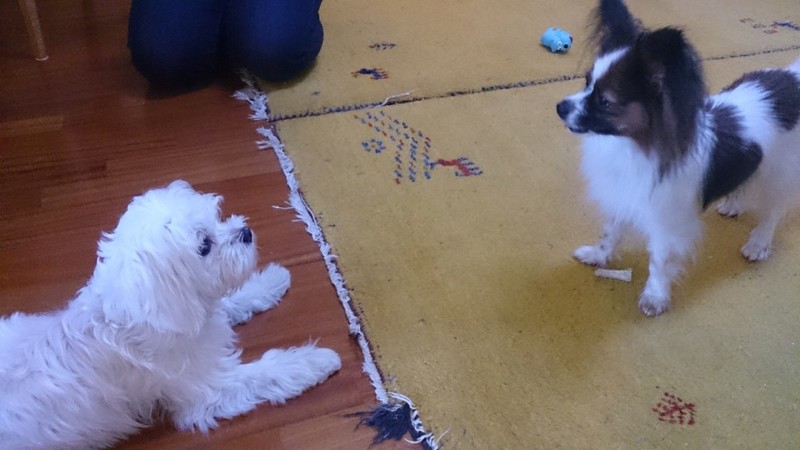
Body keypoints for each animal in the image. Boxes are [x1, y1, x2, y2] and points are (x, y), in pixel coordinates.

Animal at [0, 180, 342, 448]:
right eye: (204, 245)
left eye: (216, 217)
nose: (245, 232)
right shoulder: (207, 389)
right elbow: (264, 372)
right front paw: (313, 361)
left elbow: (229, 302)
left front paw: (270, 280)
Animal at [556, 0, 800, 316]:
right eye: (586, 82)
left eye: (605, 101)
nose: (559, 107)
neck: (631, 146)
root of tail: (792, 80)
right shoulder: (622, 196)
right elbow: (609, 232)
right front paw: (598, 256)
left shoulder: (666, 222)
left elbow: (659, 262)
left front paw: (654, 297)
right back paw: (733, 204)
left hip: (780, 173)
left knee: (772, 211)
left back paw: (758, 244)